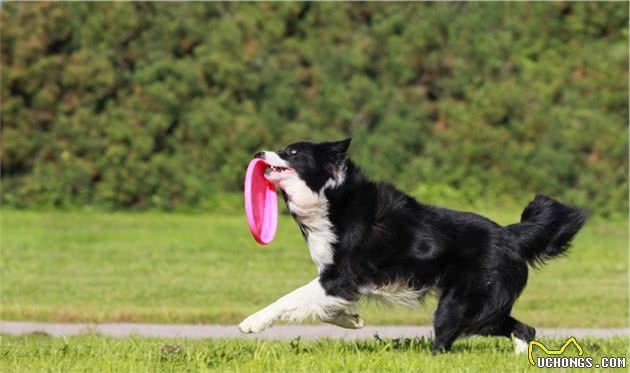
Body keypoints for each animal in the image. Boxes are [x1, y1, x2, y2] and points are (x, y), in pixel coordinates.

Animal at [239, 137, 592, 352]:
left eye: (292, 152)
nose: (258, 154)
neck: (330, 198)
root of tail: (510, 235)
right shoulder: (342, 282)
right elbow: (324, 306)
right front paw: (352, 320)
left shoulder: (340, 274)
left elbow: (289, 298)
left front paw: (251, 323)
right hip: (482, 308)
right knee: (523, 328)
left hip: (461, 305)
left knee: (448, 341)